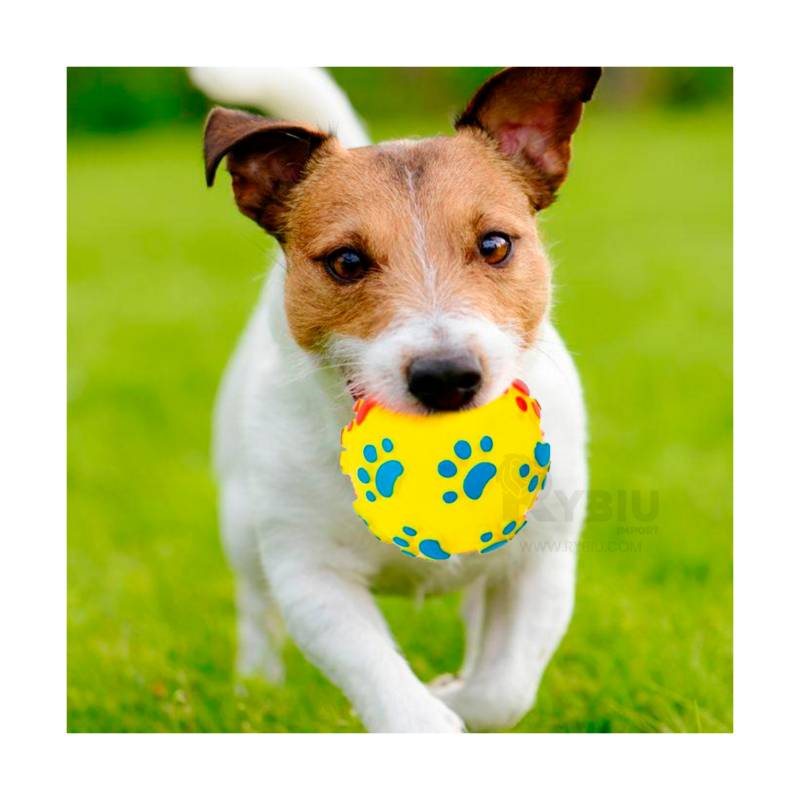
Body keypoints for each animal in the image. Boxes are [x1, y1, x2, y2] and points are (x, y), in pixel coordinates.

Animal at [191, 69, 596, 732]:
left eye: (495, 245)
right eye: (347, 261)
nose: (447, 376)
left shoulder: (538, 564)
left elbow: (504, 689)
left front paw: (453, 693)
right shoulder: (311, 575)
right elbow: (385, 682)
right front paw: (430, 711)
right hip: (242, 523)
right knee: (254, 608)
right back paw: (257, 687)